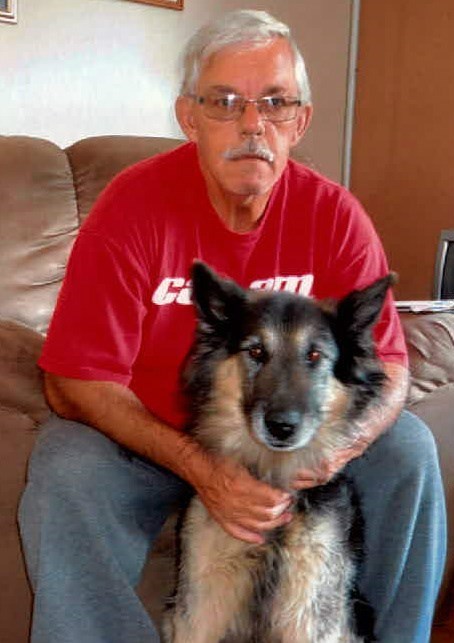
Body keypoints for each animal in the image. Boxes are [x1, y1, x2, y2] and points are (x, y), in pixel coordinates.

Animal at [163, 261, 394, 643]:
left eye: (313, 355)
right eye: (256, 352)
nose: (281, 427)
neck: (273, 471)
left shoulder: (310, 609)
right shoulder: (200, 606)